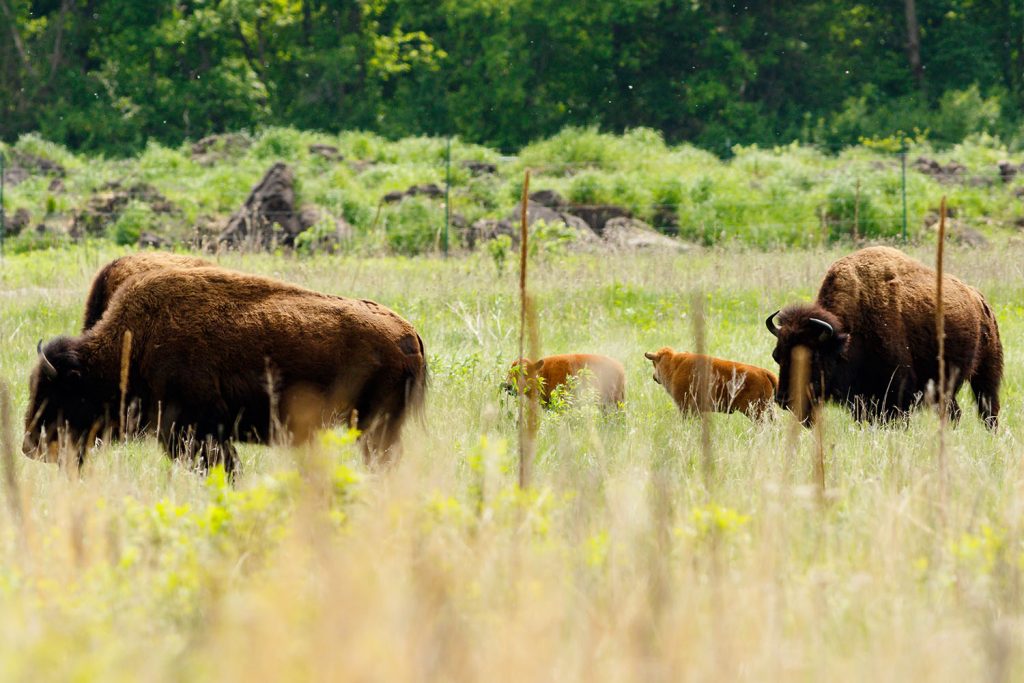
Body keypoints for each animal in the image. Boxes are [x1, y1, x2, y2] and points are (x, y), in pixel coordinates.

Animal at [23, 264, 428, 473]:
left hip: (376, 426)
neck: (132, 348)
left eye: (59, 393)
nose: (30, 446)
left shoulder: (200, 434)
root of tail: (407, 331)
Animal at [643, 348, 778, 421]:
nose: (654, 376)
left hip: (755, 412)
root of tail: (764, 372)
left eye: (654, 363)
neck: (674, 365)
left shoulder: (684, 407)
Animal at [770, 245, 999, 428]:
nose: (784, 399)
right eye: (777, 356)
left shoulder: (897, 391)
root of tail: (979, 300)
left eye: (813, 358)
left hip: (987, 373)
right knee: (954, 412)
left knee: (988, 409)